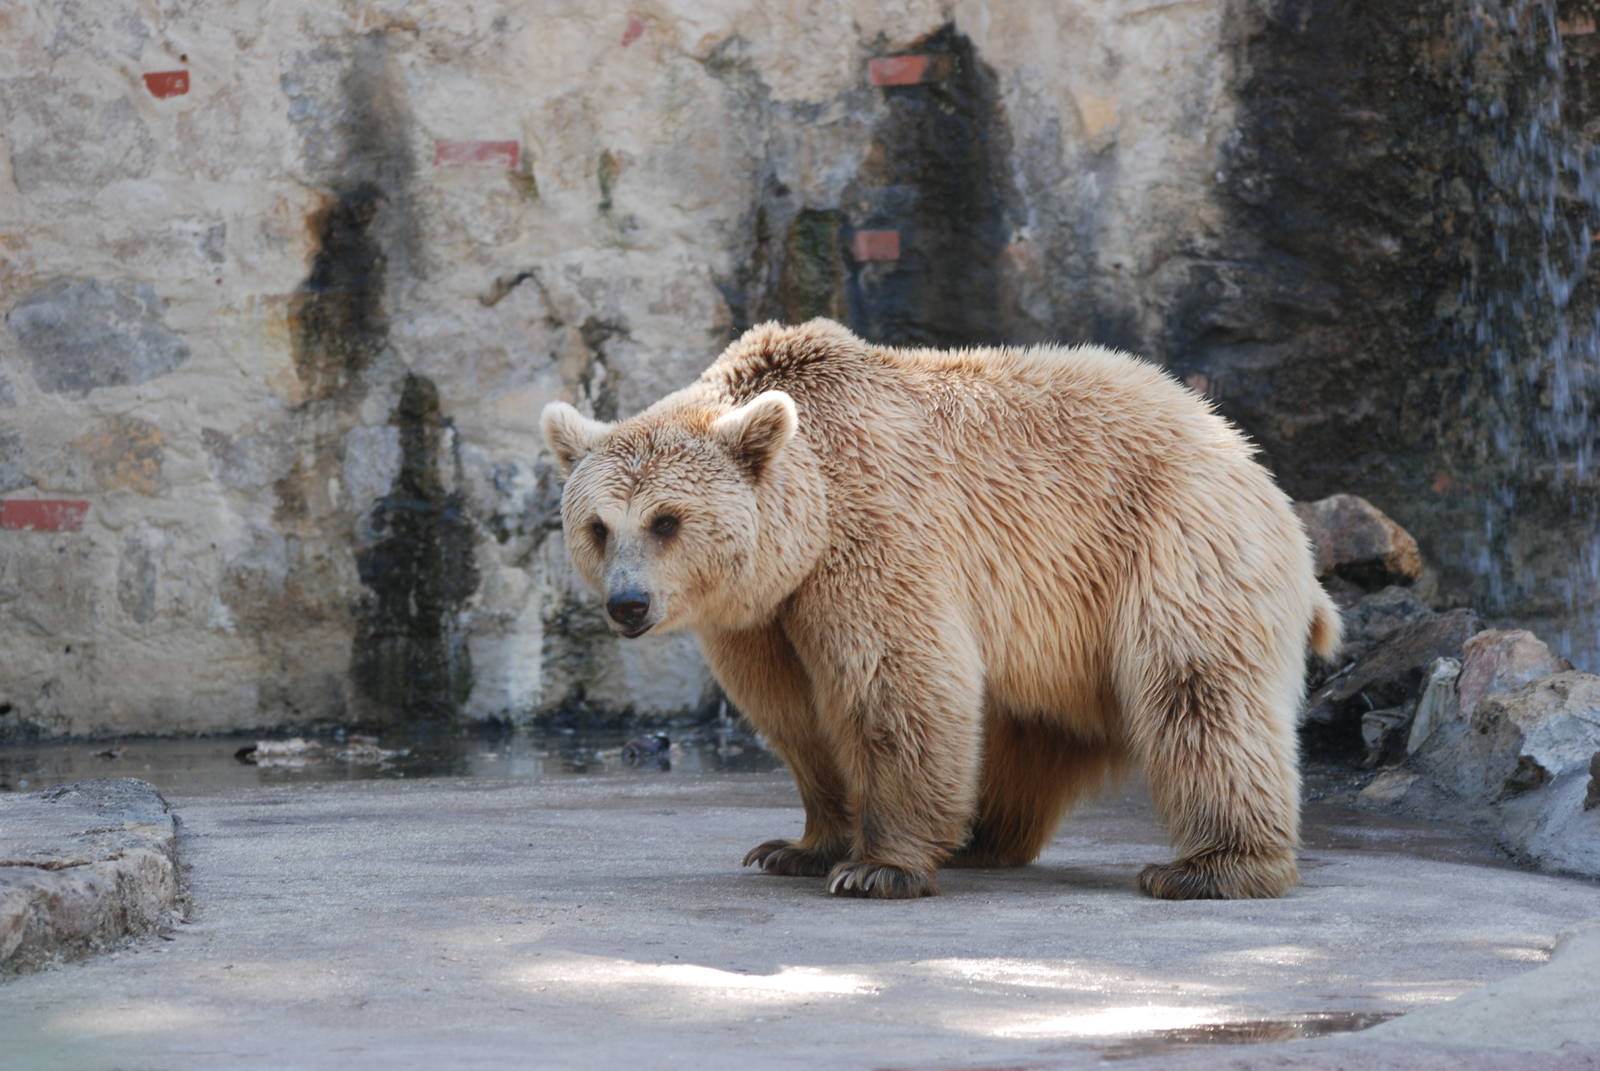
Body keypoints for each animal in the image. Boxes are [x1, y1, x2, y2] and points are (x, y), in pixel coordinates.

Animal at [541, 318, 1341, 900]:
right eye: (598, 526)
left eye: (667, 520)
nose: (628, 603)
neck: (805, 521)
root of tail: (1254, 465)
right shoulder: (762, 617)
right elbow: (797, 714)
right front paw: (796, 847)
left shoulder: (872, 538)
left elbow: (894, 683)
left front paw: (877, 866)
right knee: (1028, 728)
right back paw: (981, 834)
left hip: (1173, 548)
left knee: (1199, 696)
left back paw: (1209, 866)